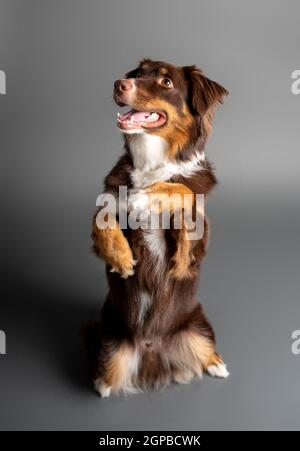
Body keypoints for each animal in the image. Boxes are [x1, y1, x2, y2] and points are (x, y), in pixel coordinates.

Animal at [90, 57, 229, 400]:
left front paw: (149, 194)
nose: (119, 84)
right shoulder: (107, 202)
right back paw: (102, 383)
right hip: (111, 337)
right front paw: (121, 258)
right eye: (138, 74)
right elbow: (102, 223)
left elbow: (182, 190)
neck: (152, 160)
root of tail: (153, 347)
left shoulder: (198, 235)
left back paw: (217, 364)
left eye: (166, 82)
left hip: (199, 325)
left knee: (207, 348)